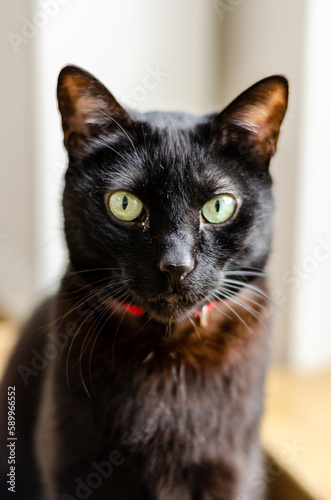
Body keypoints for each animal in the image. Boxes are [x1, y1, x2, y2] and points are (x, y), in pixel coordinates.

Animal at [0, 66, 288, 500]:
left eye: (218, 207)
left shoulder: (232, 474)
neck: (167, 353)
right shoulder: (68, 468)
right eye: (125, 204)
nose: (176, 265)